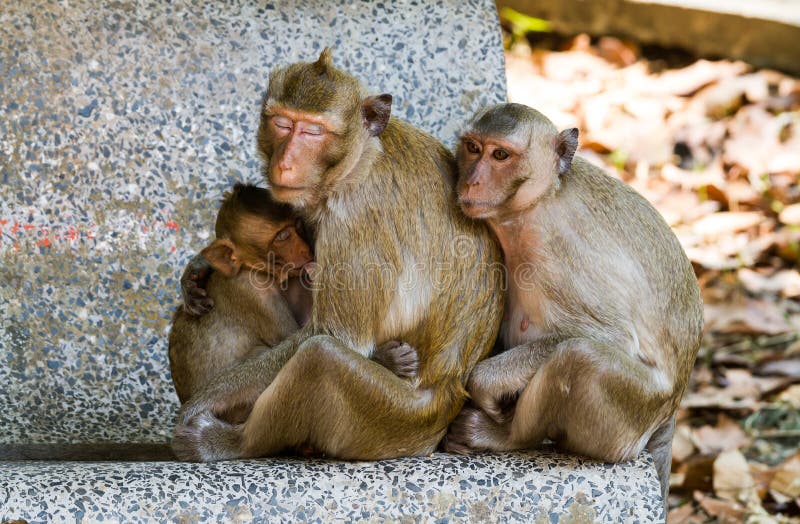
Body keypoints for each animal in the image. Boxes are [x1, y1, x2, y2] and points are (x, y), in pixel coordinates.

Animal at [173, 47, 504, 460]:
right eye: (282, 124)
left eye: (314, 131)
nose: (285, 163)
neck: (361, 161)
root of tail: (448, 397)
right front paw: (198, 267)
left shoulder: (356, 215)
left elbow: (334, 336)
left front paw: (204, 401)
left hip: (392, 417)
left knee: (319, 358)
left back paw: (226, 443)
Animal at [446, 104, 704, 506]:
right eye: (473, 148)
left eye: (500, 155)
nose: (471, 181)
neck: (541, 201)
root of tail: (672, 407)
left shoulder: (561, 251)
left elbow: (612, 338)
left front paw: (484, 384)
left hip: (628, 419)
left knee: (578, 356)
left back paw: (505, 437)